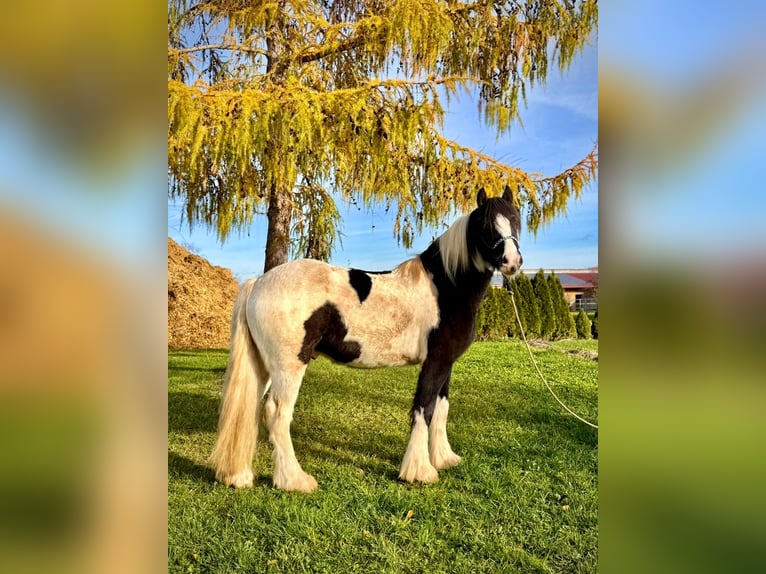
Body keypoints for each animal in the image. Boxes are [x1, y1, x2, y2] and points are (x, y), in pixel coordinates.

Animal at [210, 186, 523, 492]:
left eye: (516, 220)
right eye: (486, 226)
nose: (513, 263)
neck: (445, 287)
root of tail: (258, 283)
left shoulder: (446, 363)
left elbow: (441, 408)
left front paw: (444, 458)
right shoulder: (435, 362)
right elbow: (424, 409)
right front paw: (419, 472)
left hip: (263, 366)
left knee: (248, 411)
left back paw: (238, 476)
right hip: (289, 366)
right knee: (276, 415)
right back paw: (295, 481)